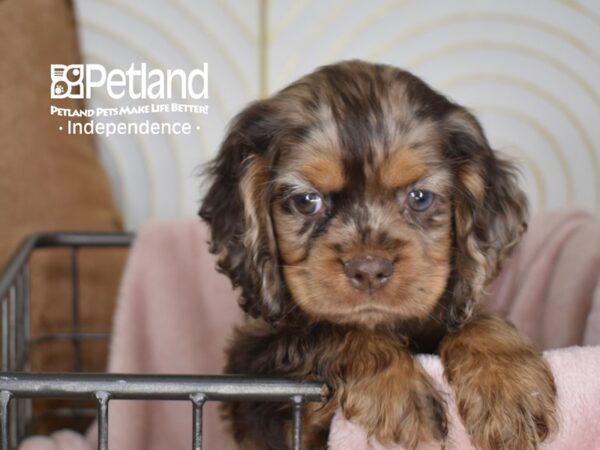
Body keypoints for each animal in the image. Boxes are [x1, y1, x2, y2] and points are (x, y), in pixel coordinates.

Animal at [200, 60, 556, 450]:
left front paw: (510, 388)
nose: (369, 270)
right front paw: (399, 394)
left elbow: (479, 319)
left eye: (420, 198)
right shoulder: (263, 393)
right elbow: (327, 330)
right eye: (306, 201)